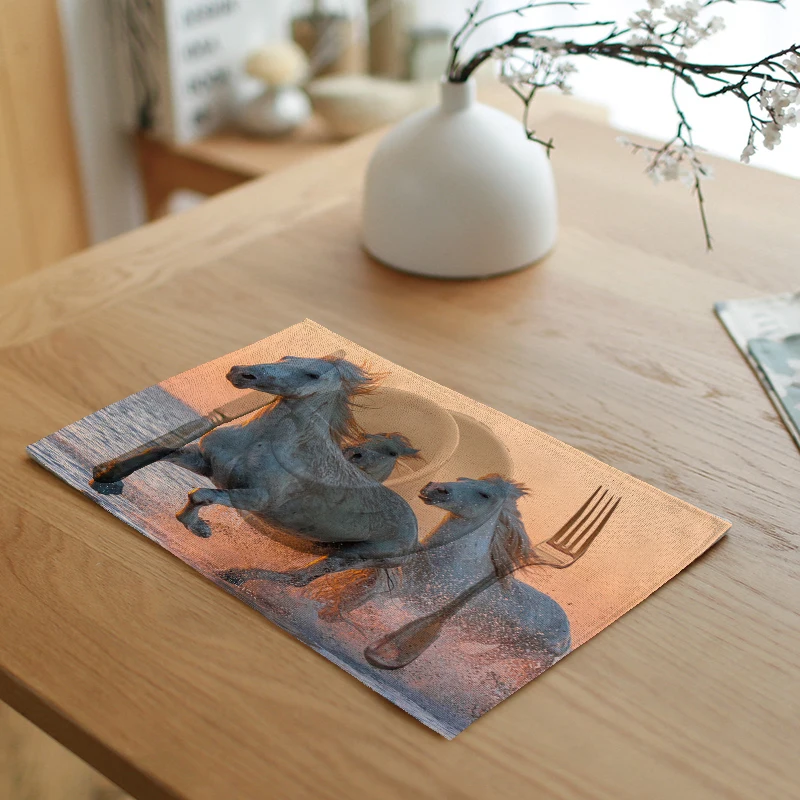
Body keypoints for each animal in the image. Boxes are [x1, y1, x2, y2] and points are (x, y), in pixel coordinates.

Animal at [162, 355, 419, 560]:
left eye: (313, 374)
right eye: (286, 358)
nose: (241, 373)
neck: (257, 442)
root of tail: (415, 530)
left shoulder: (256, 498)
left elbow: (201, 495)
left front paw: (198, 528)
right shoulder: (203, 462)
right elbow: (166, 457)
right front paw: (193, 524)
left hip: (353, 557)